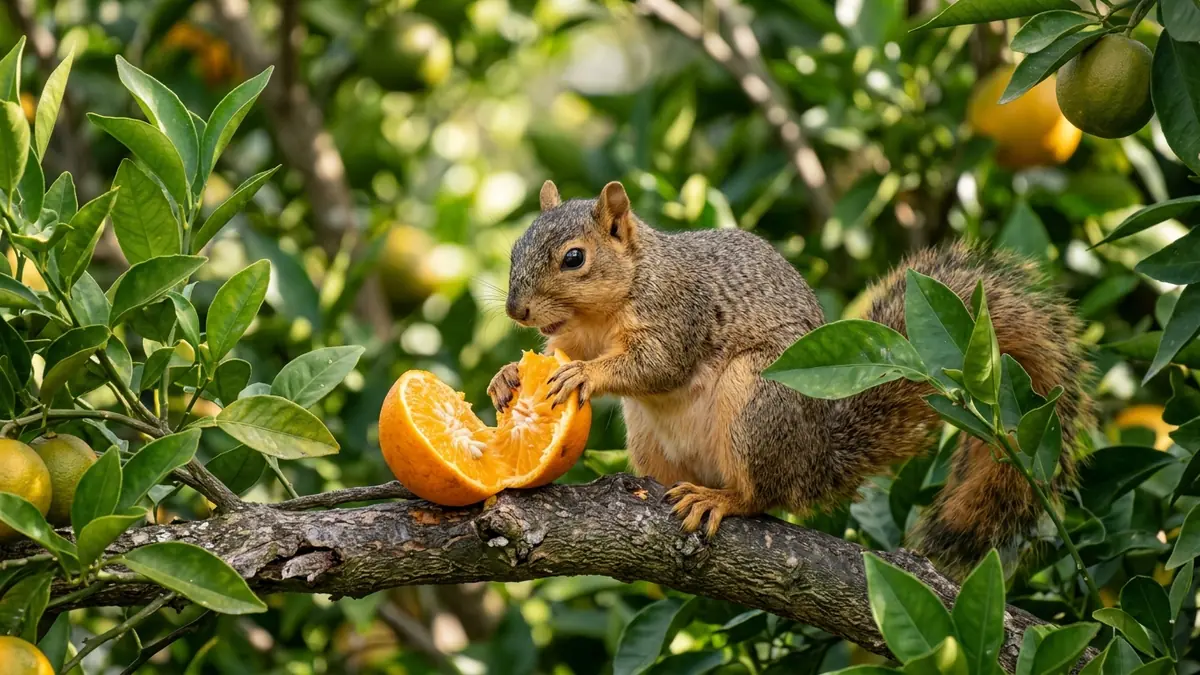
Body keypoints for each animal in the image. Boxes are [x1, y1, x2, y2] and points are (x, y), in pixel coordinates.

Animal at [489, 179, 1092, 577]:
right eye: (516, 248)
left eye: (574, 258)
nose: (516, 310)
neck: (609, 305)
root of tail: (815, 462)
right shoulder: (572, 335)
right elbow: (552, 352)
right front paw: (506, 376)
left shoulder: (679, 312)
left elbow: (658, 363)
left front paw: (584, 374)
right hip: (652, 439)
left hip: (756, 402)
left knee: (763, 495)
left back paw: (721, 500)